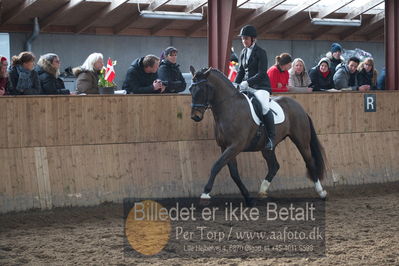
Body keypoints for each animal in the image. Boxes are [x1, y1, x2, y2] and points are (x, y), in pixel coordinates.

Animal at [190, 65, 328, 206]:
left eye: (202, 89)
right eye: (190, 89)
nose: (195, 116)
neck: (230, 107)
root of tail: (300, 107)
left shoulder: (235, 146)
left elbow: (216, 166)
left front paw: (205, 194)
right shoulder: (225, 147)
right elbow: (234, 173)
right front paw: (248, 198)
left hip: (301, 141)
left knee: (310, 162)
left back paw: (321, 192)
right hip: (267, 147)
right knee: (274, 166)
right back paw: (262, 191)